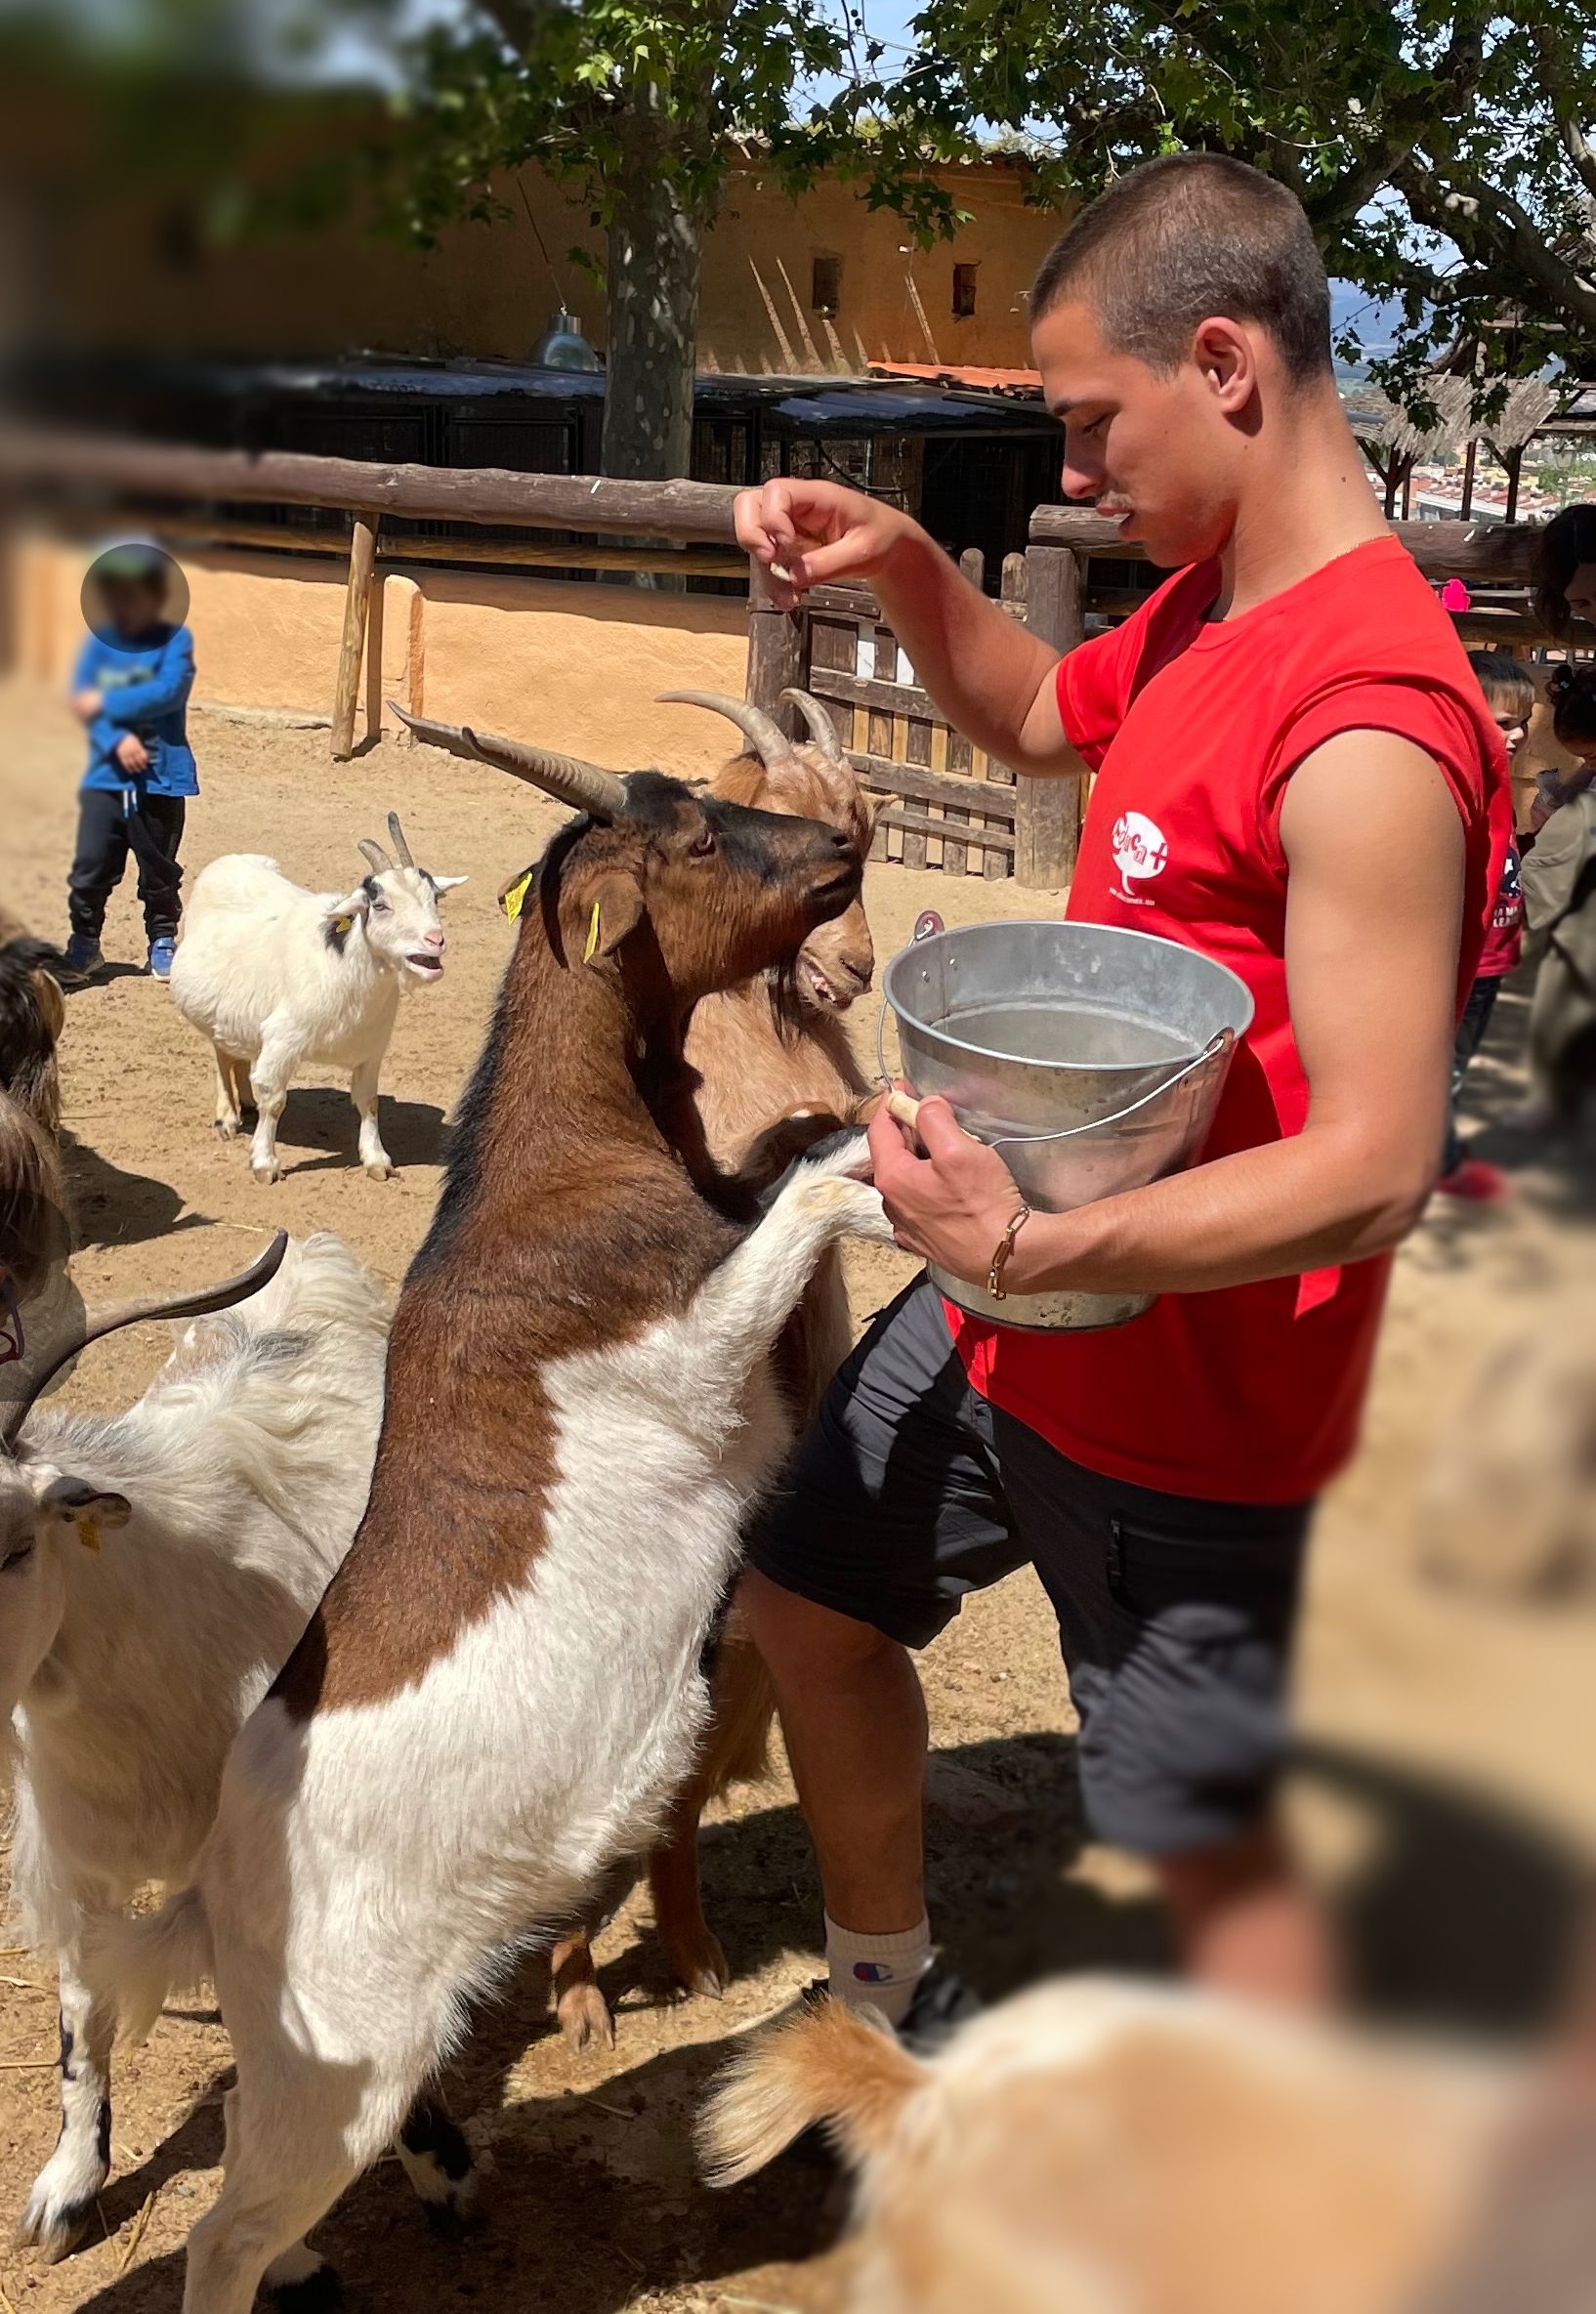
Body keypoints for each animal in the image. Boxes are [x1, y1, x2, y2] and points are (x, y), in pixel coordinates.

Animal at [170, 810, 462, 1175]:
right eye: (380, 905)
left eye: (435, 898)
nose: (435, 940)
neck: (342, 969)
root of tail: (231, 860)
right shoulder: (282, 1039)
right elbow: (274, 1100)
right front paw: (264, 1163)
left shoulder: (372, 1048)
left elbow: (368, 1100)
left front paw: (376, 1159)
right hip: (214, 1012)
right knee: (223, 1055)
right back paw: (227, 1118)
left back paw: (246, 1103)